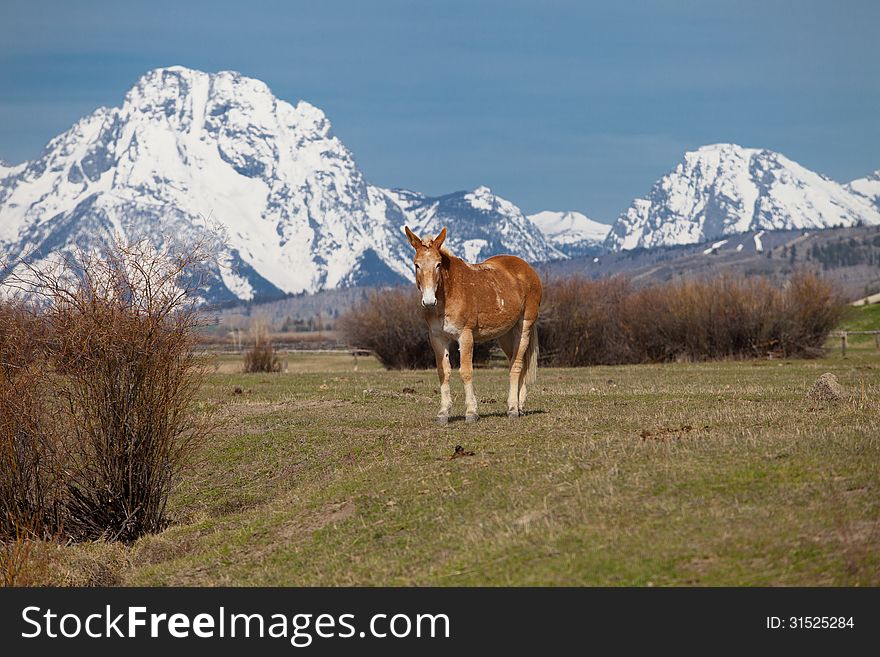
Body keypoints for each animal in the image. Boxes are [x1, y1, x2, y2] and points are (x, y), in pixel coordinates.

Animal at [406, 226, 544, 426]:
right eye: (416, 264)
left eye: (438, 264)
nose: (429, 301)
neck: (449, 293)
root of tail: (527, 269)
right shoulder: (437, 338)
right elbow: (443, 372)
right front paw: (443, 413)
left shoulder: (465, 336)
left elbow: (466, 371)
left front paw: (471, 412)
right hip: (506, 335)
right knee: (518, 364)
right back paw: (519, 406)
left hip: (523, 328)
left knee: (517, 366)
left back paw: (512, 408)